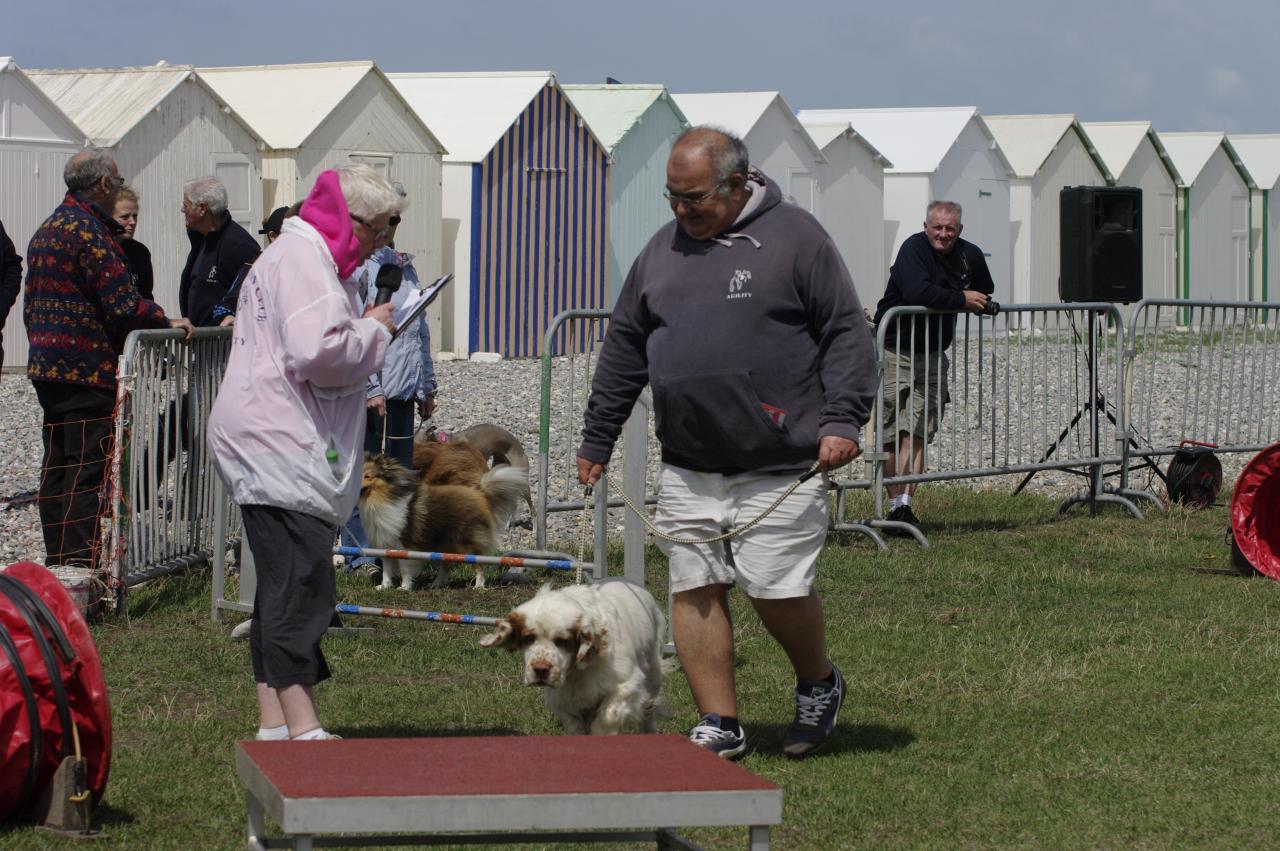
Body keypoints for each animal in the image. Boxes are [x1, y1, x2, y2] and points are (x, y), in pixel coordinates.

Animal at [481, 580, 670, 731]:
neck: (577, 672)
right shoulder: (564, 702)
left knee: (649, 714)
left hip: (653, 678)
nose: (540, 670)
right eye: (529, 638)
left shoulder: (627, 687)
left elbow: (605, 719)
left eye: (562, 641)